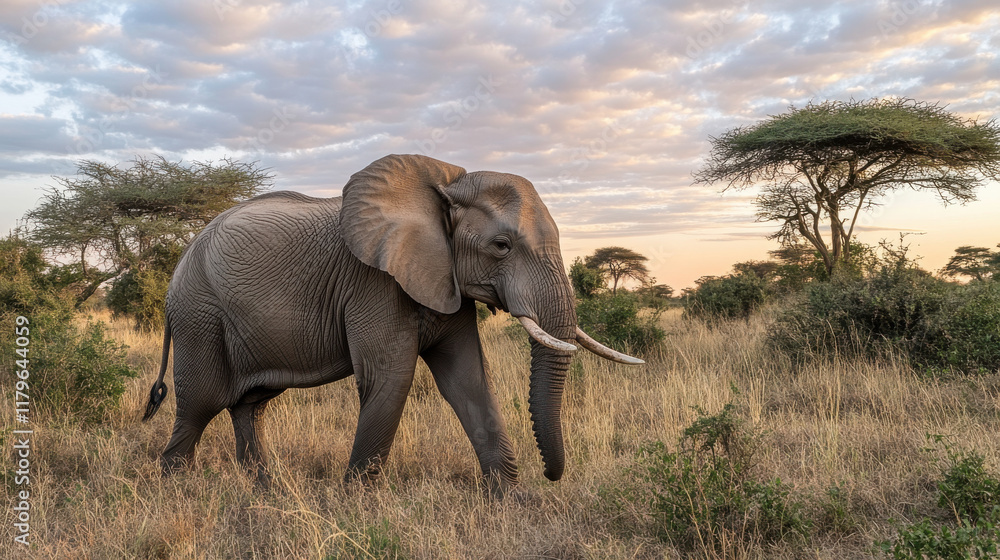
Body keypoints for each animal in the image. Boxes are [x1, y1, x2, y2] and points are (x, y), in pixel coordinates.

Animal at [141, 154, 642, 495]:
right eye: (501, 246)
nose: (551, 476)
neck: (446, 186)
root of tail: (180, 264)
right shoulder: (373, 283)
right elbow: (391, 379)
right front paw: (356, 504)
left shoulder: (445, 280)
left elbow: (468, 380)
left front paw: (510, 500)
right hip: (200, 314)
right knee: (201, 402)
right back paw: (173, 490)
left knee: (250, 405)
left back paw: (267, 490)